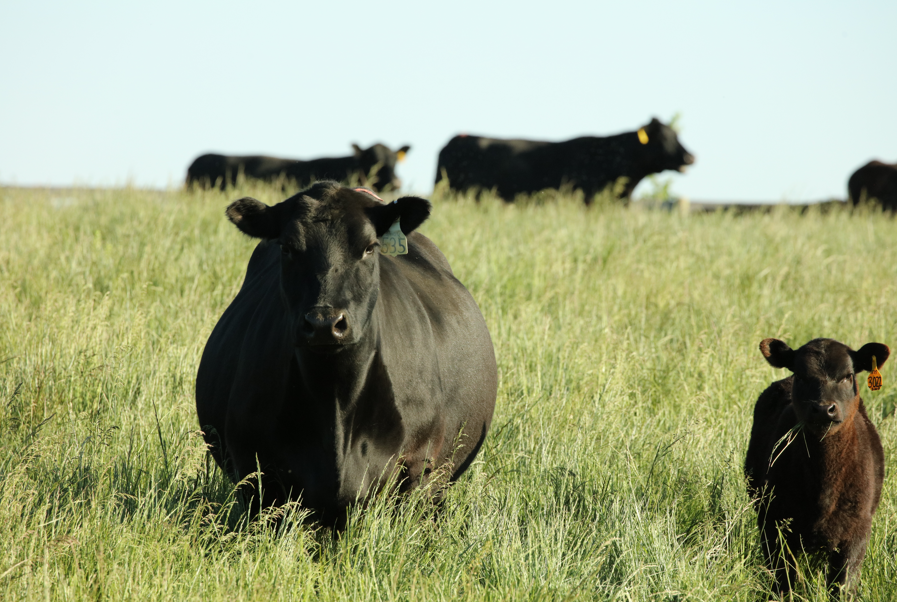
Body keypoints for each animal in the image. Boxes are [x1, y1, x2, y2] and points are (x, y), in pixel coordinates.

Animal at [195, 181, 498, 527]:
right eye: (287, 247)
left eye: (369, 247)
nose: (324, 323)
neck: (335, 401)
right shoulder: (254, 470)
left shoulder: (419, 467)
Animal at [744, 337, 888, 596]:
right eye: (801, 376)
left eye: (848, 375)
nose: (823, 409)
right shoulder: (773, 523)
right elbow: (784, 581)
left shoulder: (858, 530)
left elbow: (843, 586)